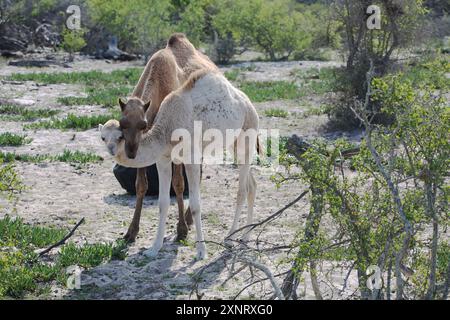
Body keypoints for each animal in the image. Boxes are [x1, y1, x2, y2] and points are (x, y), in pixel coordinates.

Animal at [100, 70, 258, 260]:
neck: (168, 129)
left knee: (241, 190)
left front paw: (201, 251)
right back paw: (246, 236)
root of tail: (248, 103)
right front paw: (154, 248)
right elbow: (163, 203)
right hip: (234, 144)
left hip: (247, 136)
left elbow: (196, 206)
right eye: (103, 137)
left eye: (119, 136)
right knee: (251, 185)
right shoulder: (163, 159)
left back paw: (229, 238)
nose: (112, 150)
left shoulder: (191, 158)